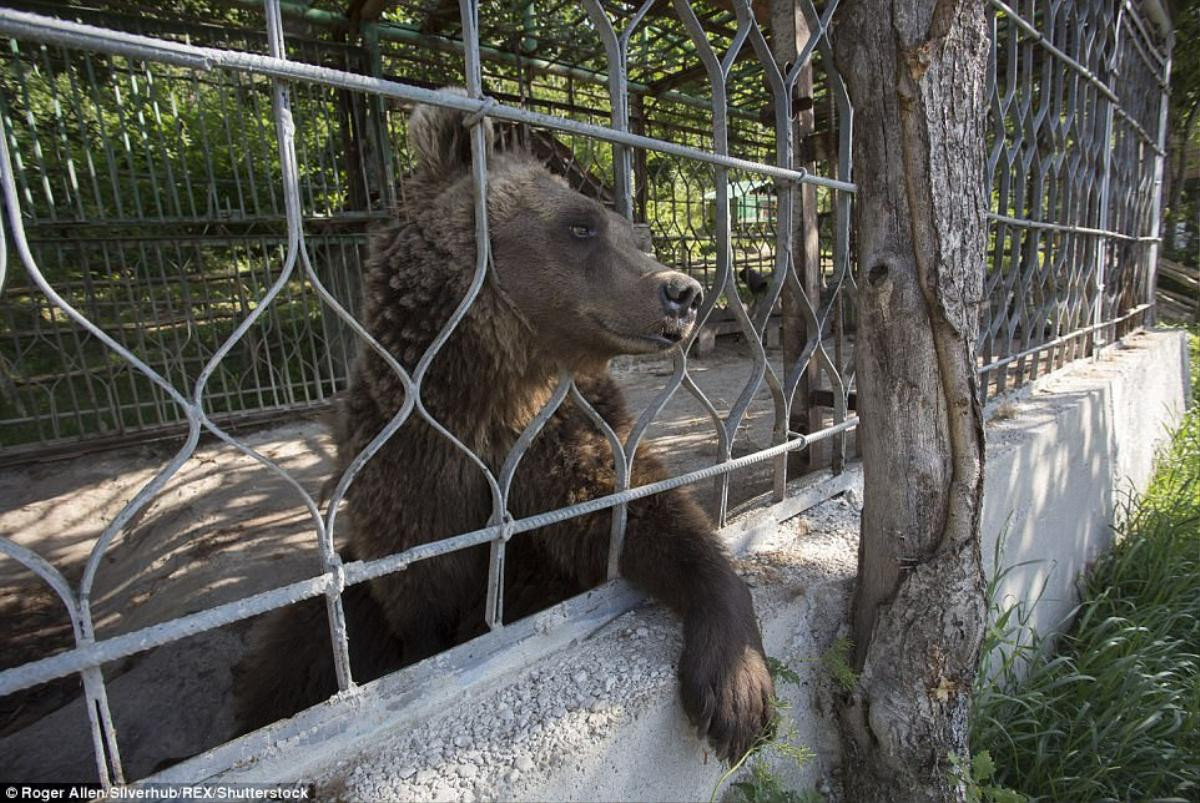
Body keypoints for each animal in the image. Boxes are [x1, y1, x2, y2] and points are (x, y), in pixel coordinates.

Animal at [236, 97, 777, 763]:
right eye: (580, 226)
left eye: (635, 235)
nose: (684, 291)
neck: (497, 388)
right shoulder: (410, 466)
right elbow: (421, 594)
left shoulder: (566, 433)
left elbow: (643, 514)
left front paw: (734, 687)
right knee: (294, 644)